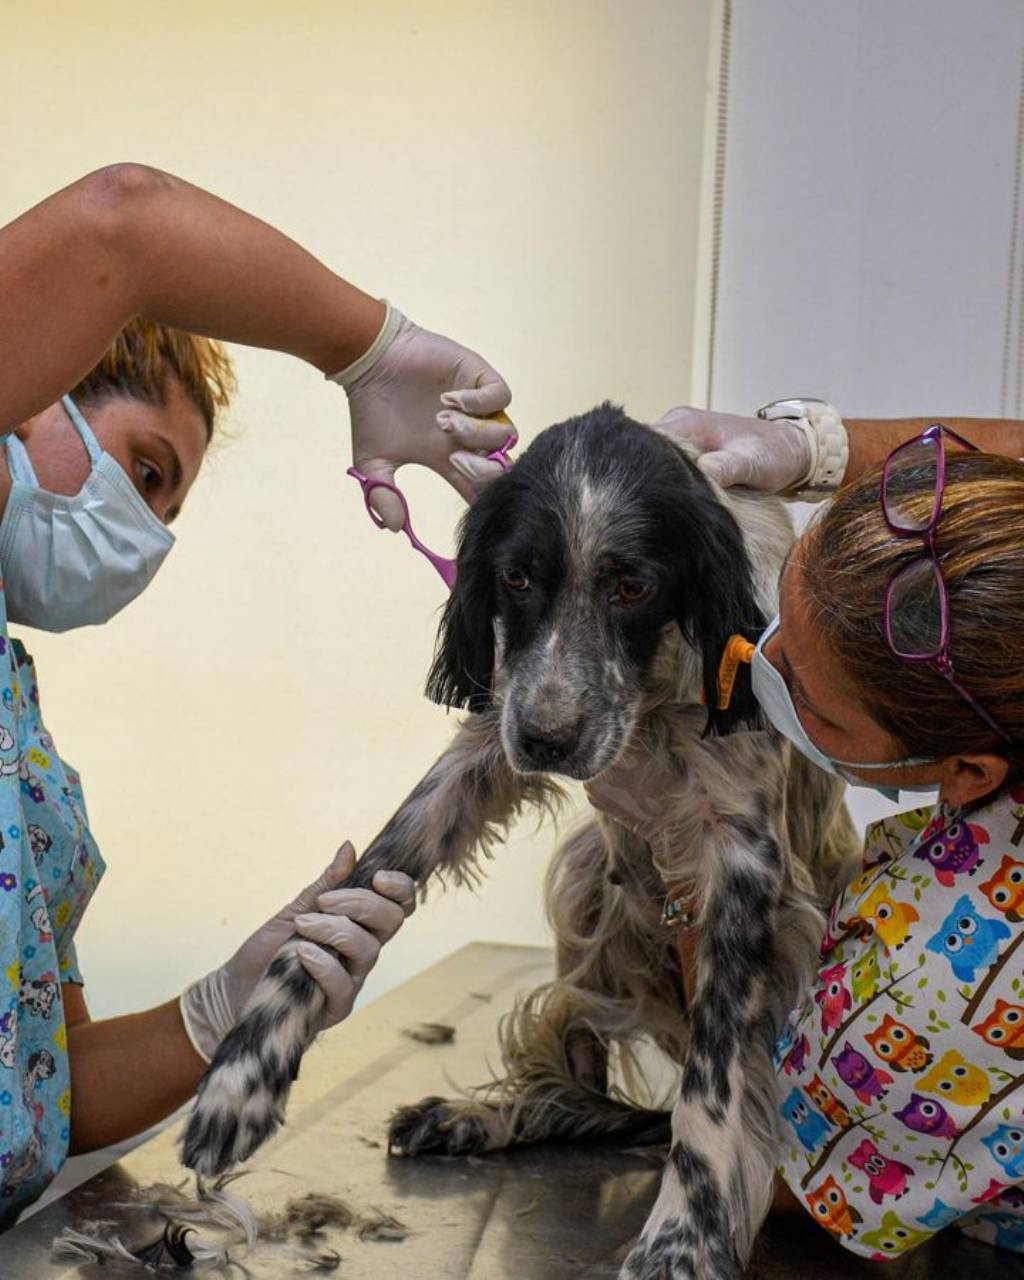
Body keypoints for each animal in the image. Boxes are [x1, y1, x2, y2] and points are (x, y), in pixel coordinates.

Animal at [184, 404, 855, 1280]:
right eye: (518, 579)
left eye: (633, 587)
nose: (547, 740)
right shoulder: (483, 745)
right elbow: (346, 899)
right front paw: (238, 1084)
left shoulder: (745, 863)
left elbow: (711, 1091)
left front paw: (684, 1235)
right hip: (587, 887)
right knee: (582, 1084)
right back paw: (481, 1119)